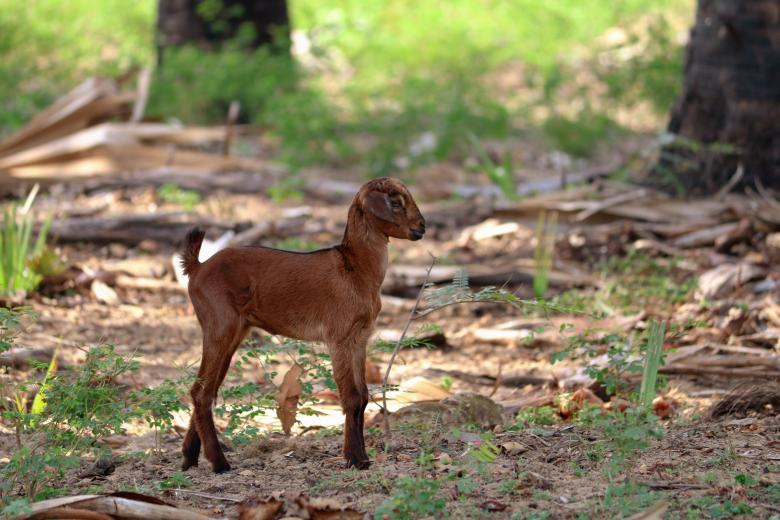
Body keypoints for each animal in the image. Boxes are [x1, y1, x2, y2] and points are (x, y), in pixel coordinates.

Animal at [180, 177, 426, 473]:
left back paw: (189, 458)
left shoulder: (359, 337)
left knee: (208, 388)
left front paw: (362, 457)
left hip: (234, 332)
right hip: (220, 326)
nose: (421, 227)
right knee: (201, 392)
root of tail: (197, 267)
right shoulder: (339, 337)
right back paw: (219, 463)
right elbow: (351, 396)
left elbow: (364, 396)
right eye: (395, 202)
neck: (354, 268)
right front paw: (355, 459)